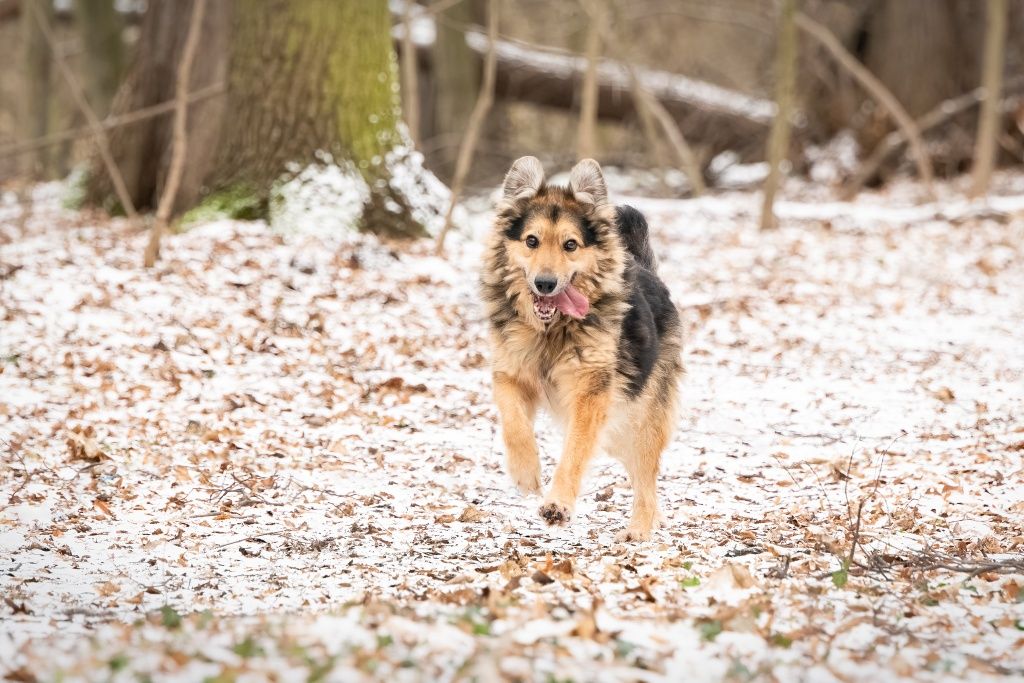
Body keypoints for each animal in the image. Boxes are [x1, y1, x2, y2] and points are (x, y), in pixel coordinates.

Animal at [481, 156, 688, 540]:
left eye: (570, 245)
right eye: (531, 241)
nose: (545, 284)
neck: (551, 332)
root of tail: (645, 268)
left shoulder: (591, 393)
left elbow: (575, 452)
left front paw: (557, 504)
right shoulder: (510, 373)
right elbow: (514, 423)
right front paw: (525, 472)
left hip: (639, 417)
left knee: (647, 476)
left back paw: (640, 528)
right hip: (618, 429)